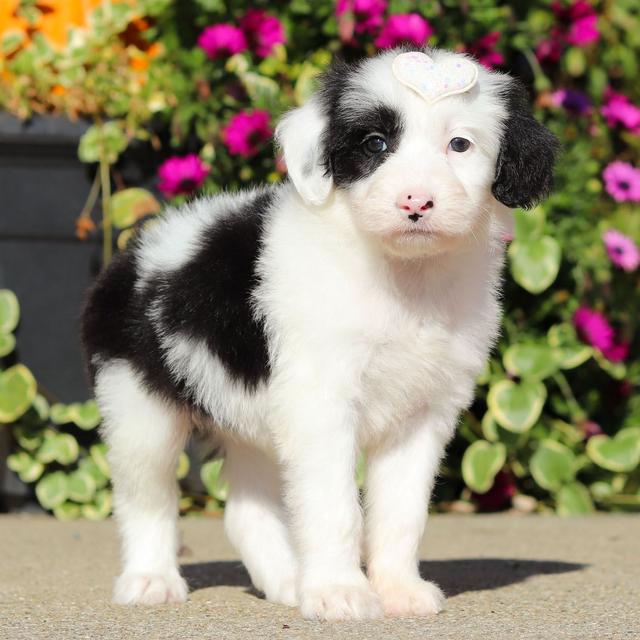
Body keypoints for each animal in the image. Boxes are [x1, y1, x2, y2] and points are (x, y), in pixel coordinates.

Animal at [82, 48, 556, 620]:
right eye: (374, 144)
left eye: (459, 144)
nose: (416, 202)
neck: (403, 279)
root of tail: (134, 250)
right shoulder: (321, 404)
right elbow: (335, 506)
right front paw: (339, 592)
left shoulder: (422, 416)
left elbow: (401, 513)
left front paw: (396, 590)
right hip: (139, 407)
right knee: (145, 496)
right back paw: (150, 579)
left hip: (247, 420)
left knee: (244, 510)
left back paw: (288, 581)